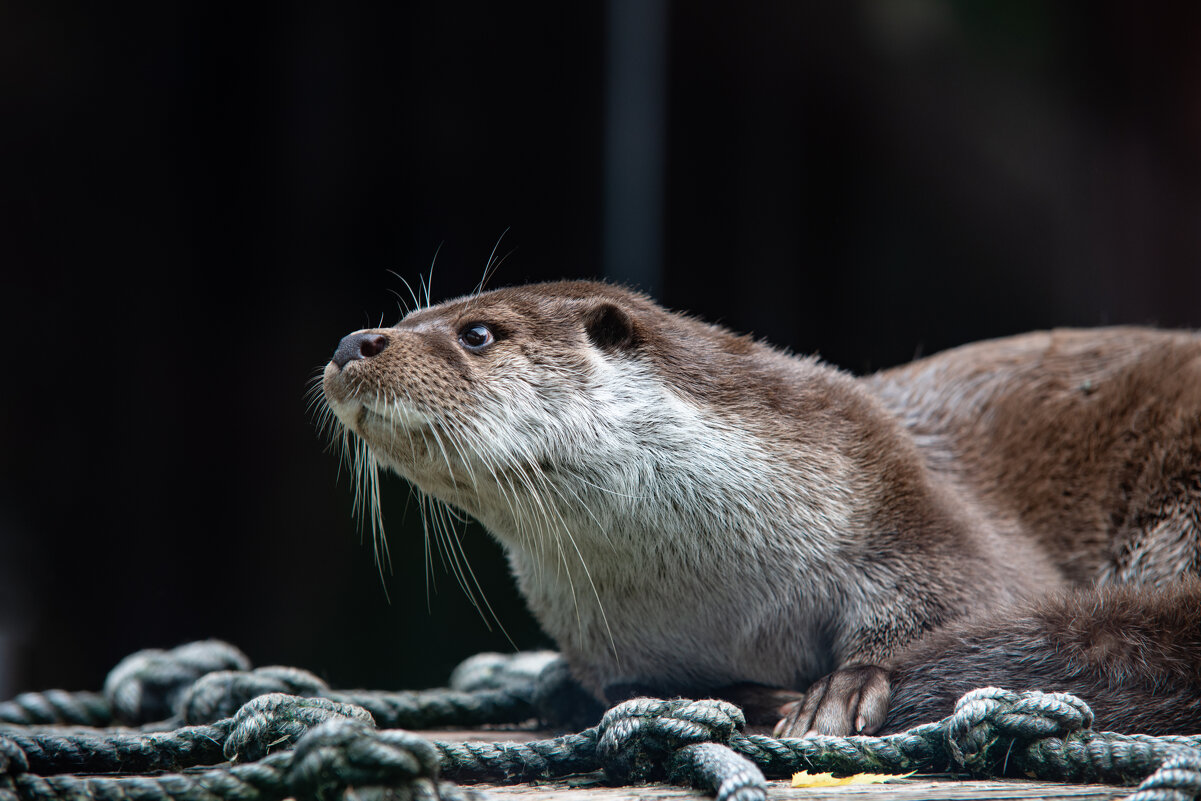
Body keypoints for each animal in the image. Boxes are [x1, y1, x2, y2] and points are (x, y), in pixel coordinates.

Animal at [319, 278, 1201, 734]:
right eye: (404, 317)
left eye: (477, 333)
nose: (353, 341)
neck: (723, 602)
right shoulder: (610, 643)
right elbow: (613, 686)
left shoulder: (920, 515)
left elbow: (963, 598)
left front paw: (845, 686)